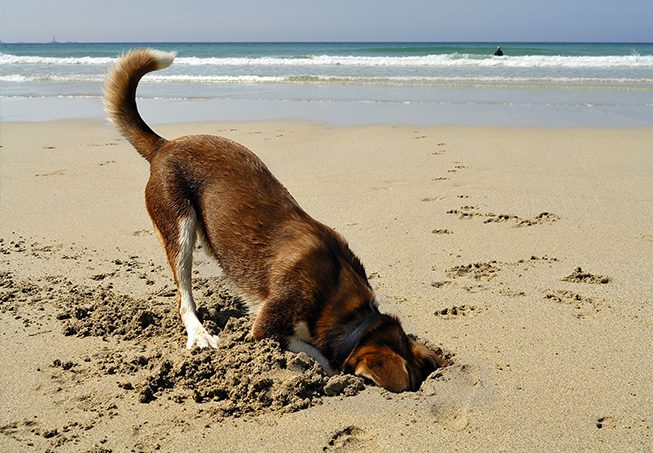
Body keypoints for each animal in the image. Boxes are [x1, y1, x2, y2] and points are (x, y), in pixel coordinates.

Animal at [104, 47, 450, 390]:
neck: (347, 307)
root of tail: (164, 145)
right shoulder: (267, 328)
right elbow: (319, 355)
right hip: (179, 228)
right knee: (184, 295)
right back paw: (199, 334)